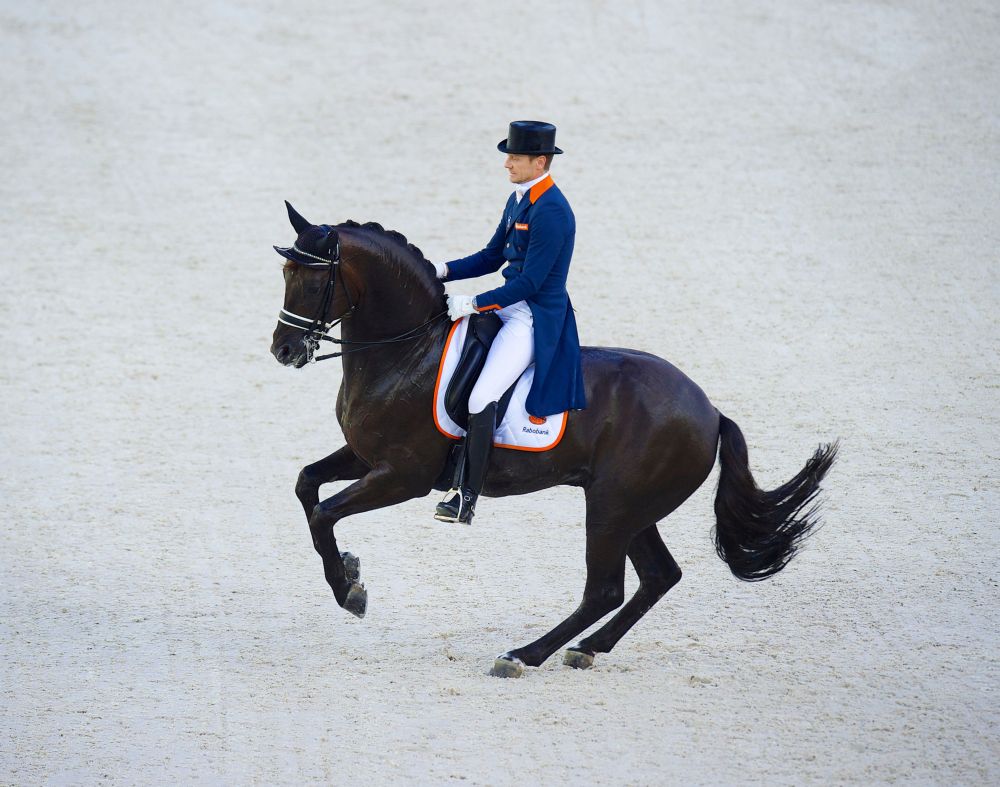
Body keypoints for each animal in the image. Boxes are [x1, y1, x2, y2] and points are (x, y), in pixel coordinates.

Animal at [268, 202, 836, 676]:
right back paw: (585, 649)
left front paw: (349, 591)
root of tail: (711, 411)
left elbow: (324, 513)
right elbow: (305, 485)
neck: (407, 351)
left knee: (604, 590)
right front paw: (350, 568)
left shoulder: (404, 476)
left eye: (313, 282)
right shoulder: (366, 457)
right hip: (632, 509)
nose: (284, 350)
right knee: (658, 576)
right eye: (285, 274)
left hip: (611, 507)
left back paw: (523, 655)